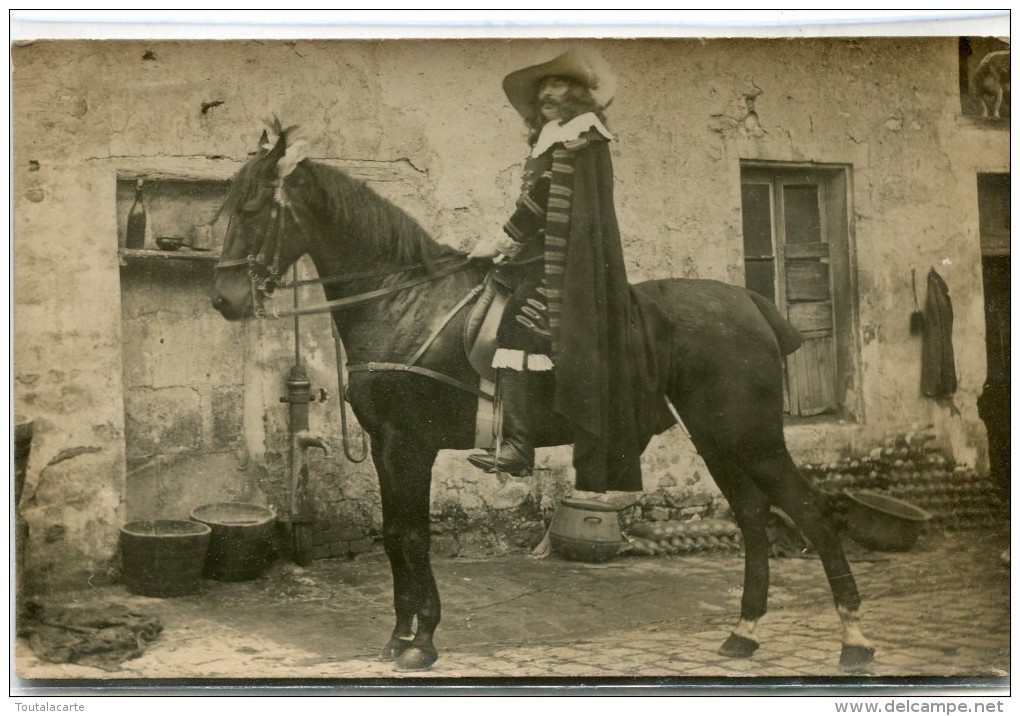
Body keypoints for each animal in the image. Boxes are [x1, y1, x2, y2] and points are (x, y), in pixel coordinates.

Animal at [211, 127, 873, 673]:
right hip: (717, 439)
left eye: (251, 209)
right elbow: (397, 536)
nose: (224, 299)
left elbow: (413, 537)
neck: (402, 300)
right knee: (754, 518)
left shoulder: (410, 446)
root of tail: (750, 304)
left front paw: (421, 642)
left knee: (809, 511)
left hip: (751, 436)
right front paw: (400, 637)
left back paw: (855, 641)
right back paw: (744, 633)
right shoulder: (386, 448)